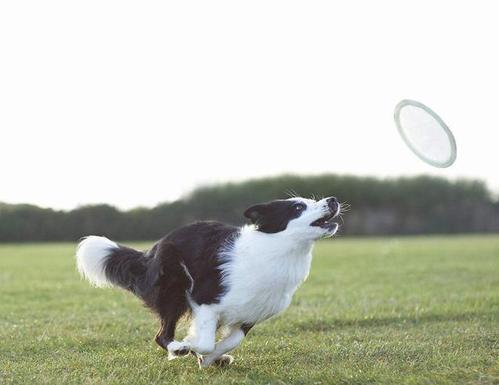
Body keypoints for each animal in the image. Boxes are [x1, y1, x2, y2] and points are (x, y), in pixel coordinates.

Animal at [77, 196, 344, 368]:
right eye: (298, 206)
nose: (333, 199)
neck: (278, 249)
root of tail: (151, 251)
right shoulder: (205, 300)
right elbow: (204, 341)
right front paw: (195, 349)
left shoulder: (252, 312)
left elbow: (232, 340)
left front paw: (211, 358)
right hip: (174, 288)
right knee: (161, 334)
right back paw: (177, 348)